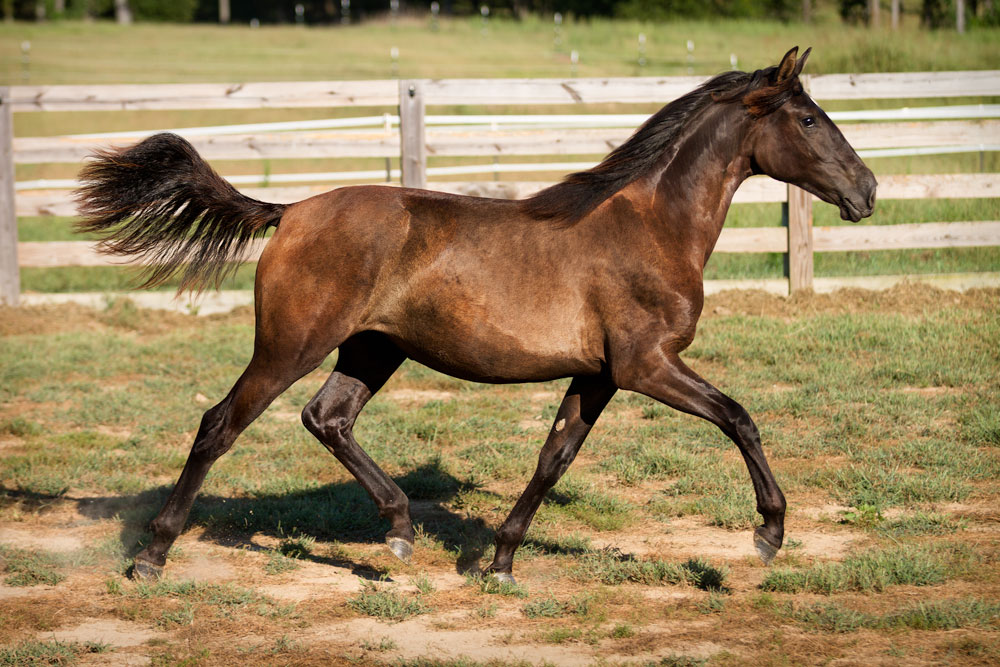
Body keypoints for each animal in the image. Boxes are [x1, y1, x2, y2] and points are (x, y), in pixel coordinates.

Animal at [76, 47, 876, 580]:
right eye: (809, 119)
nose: (866, 191)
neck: (652, 227)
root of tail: (291, 210)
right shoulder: (647, 364)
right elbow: (740, 416)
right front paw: (769, 532)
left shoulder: (600, 374)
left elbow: (554, 457)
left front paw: (499, 561)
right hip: (290, 344)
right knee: (221, 424)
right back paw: (151, 556)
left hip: (371, 349)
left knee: (327, 418)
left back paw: (400, 530)